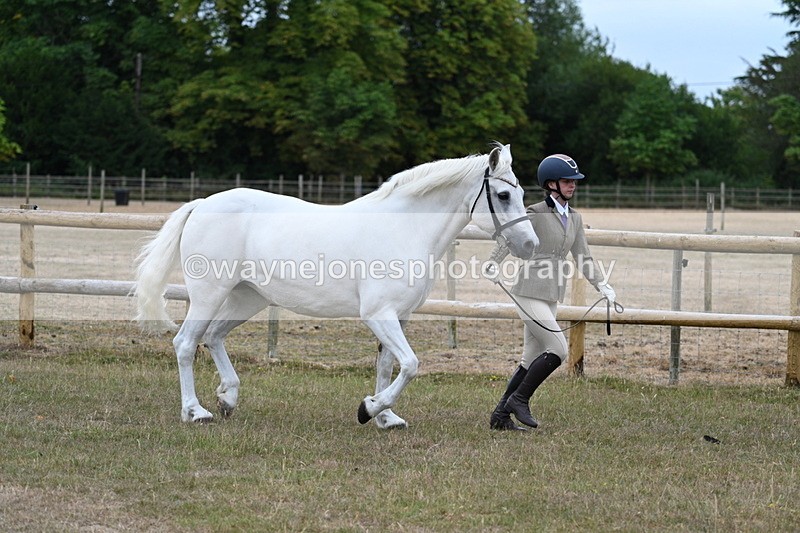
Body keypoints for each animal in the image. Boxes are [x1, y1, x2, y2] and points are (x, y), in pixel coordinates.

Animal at [134, 143, 538, 428]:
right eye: (504, 195)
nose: (530, 245)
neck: (404, 228)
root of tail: (202, 204)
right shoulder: (378, 314)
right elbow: (410, 364)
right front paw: (368, 409)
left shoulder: (400, 316)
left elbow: (387, 365)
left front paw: (386, 418)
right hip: (209, 294)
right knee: (186, 343)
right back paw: (195, 411)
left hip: (248, 298)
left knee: (214, 336)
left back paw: (227, 399)